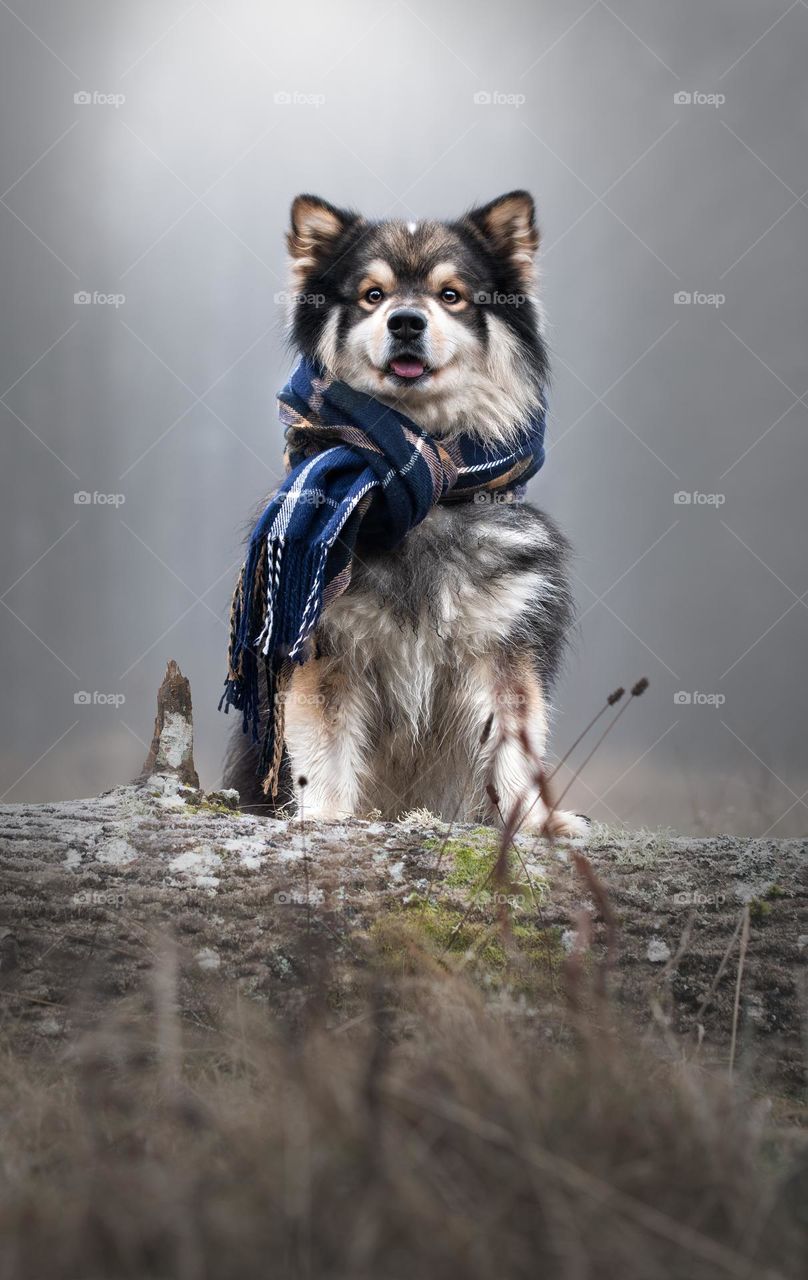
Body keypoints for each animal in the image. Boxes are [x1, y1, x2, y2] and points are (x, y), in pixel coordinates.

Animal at [224, 185, 583, 834]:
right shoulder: (326, 652)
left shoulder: (506, 648)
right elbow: (325, 753)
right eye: (373, 295)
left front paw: (533, 827)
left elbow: (516, 751)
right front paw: (326, 819)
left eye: (451, 295)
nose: (406, 321)